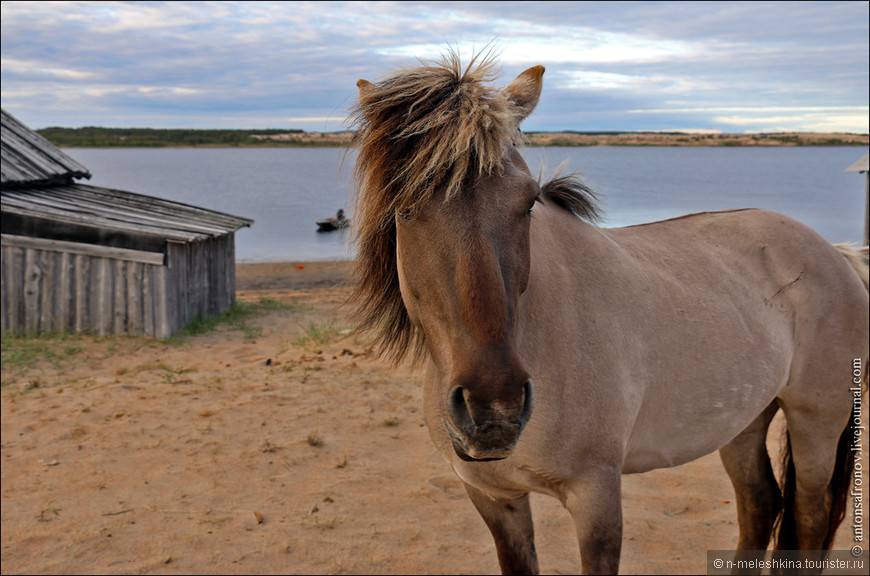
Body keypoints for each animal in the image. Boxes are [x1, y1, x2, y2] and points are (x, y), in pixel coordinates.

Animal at [348, 51, 870, 572]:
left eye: (528, 200)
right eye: (404, 205)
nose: (494, 408)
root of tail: (836, 253)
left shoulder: (595, 497)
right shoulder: (495, 499)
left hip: (816, 421)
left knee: (808, 515)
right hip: (745, 419)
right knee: (760, 503)